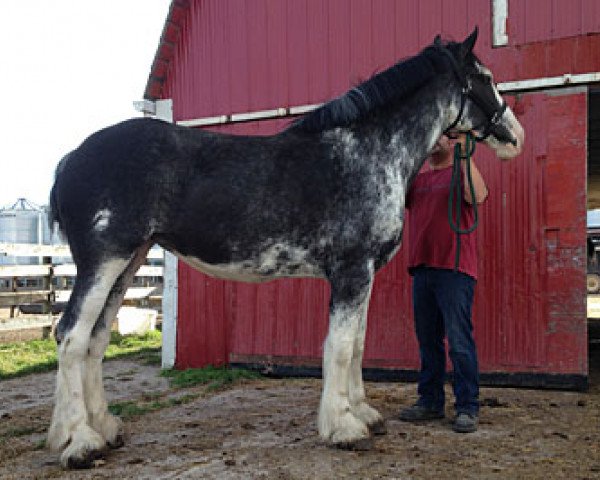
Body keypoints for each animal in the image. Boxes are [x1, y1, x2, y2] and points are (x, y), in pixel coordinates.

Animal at [49, 30, 524, 468]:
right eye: (485, 78)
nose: (515, 137)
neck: (368, 153)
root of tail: (71, 159)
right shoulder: (352, 272)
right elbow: (341, 346)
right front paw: (344, 427)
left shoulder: (364, 274)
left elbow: (358, 343)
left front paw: (364, 414)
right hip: (103, 260)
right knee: (71, 335)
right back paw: (81, 443)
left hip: (127, 262)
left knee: (96, 337)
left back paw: (102, 429)